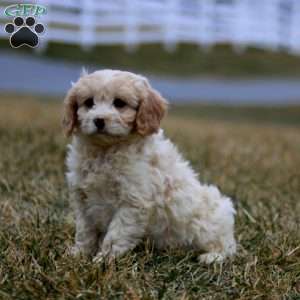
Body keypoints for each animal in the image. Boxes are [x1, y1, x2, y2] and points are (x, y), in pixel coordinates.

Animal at [63, 69, 237, 264]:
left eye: (119, 103)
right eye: (88, 102)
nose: (99, 120)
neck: (105, 151)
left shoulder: (133, 201)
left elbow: (116, 234)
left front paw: (103, 260)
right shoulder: (82, 198)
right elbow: (85, 231)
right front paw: (79, 254)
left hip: (209, 222)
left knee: (226, 246)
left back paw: (212, 257)